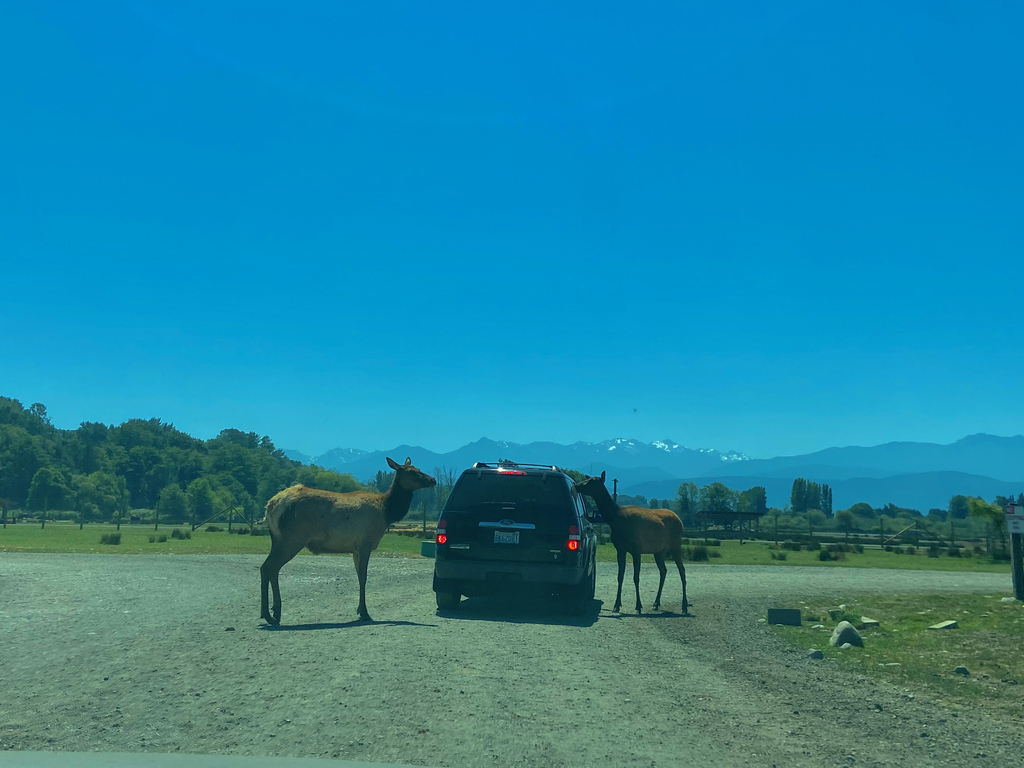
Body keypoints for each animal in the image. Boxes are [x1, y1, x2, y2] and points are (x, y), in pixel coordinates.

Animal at [258, 456, 434, 626]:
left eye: (418, 468)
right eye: (412, 472)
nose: (433, 480)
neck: (387, 512)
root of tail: (270, 506)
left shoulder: (355, 549)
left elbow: (359, 576)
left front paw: (360, 610)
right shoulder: (365, 543)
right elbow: (363, 576)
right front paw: (365, 613)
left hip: (277, 539)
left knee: (266, 567)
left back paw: (270, 613)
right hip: (292, 539)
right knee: (270, 567)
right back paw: (271, 614)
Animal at [577, 473, 688, 618]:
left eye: (592, 481)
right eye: (588, 479)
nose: (576, 485)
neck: (617, 521)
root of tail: (680, 520)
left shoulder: (636, 549)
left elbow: (636, 577)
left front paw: (638, 606)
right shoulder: (620, 549)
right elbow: (620, 576)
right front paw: (616, 605)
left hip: (675, 545)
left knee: (682, 571)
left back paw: (684, 606)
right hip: (659, 551)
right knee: (663, 571)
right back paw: (656, 603)